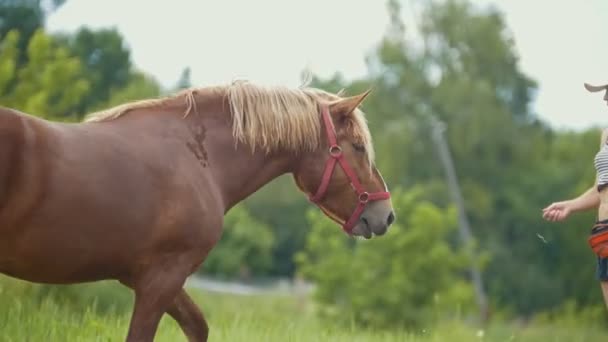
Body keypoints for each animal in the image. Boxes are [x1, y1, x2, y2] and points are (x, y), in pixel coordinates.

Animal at [0, 81, 394, 340]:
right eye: (358, 147)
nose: (386, 214)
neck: (197, 157)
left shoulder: (145, 277)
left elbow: (197, 325)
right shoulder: (162, 278)